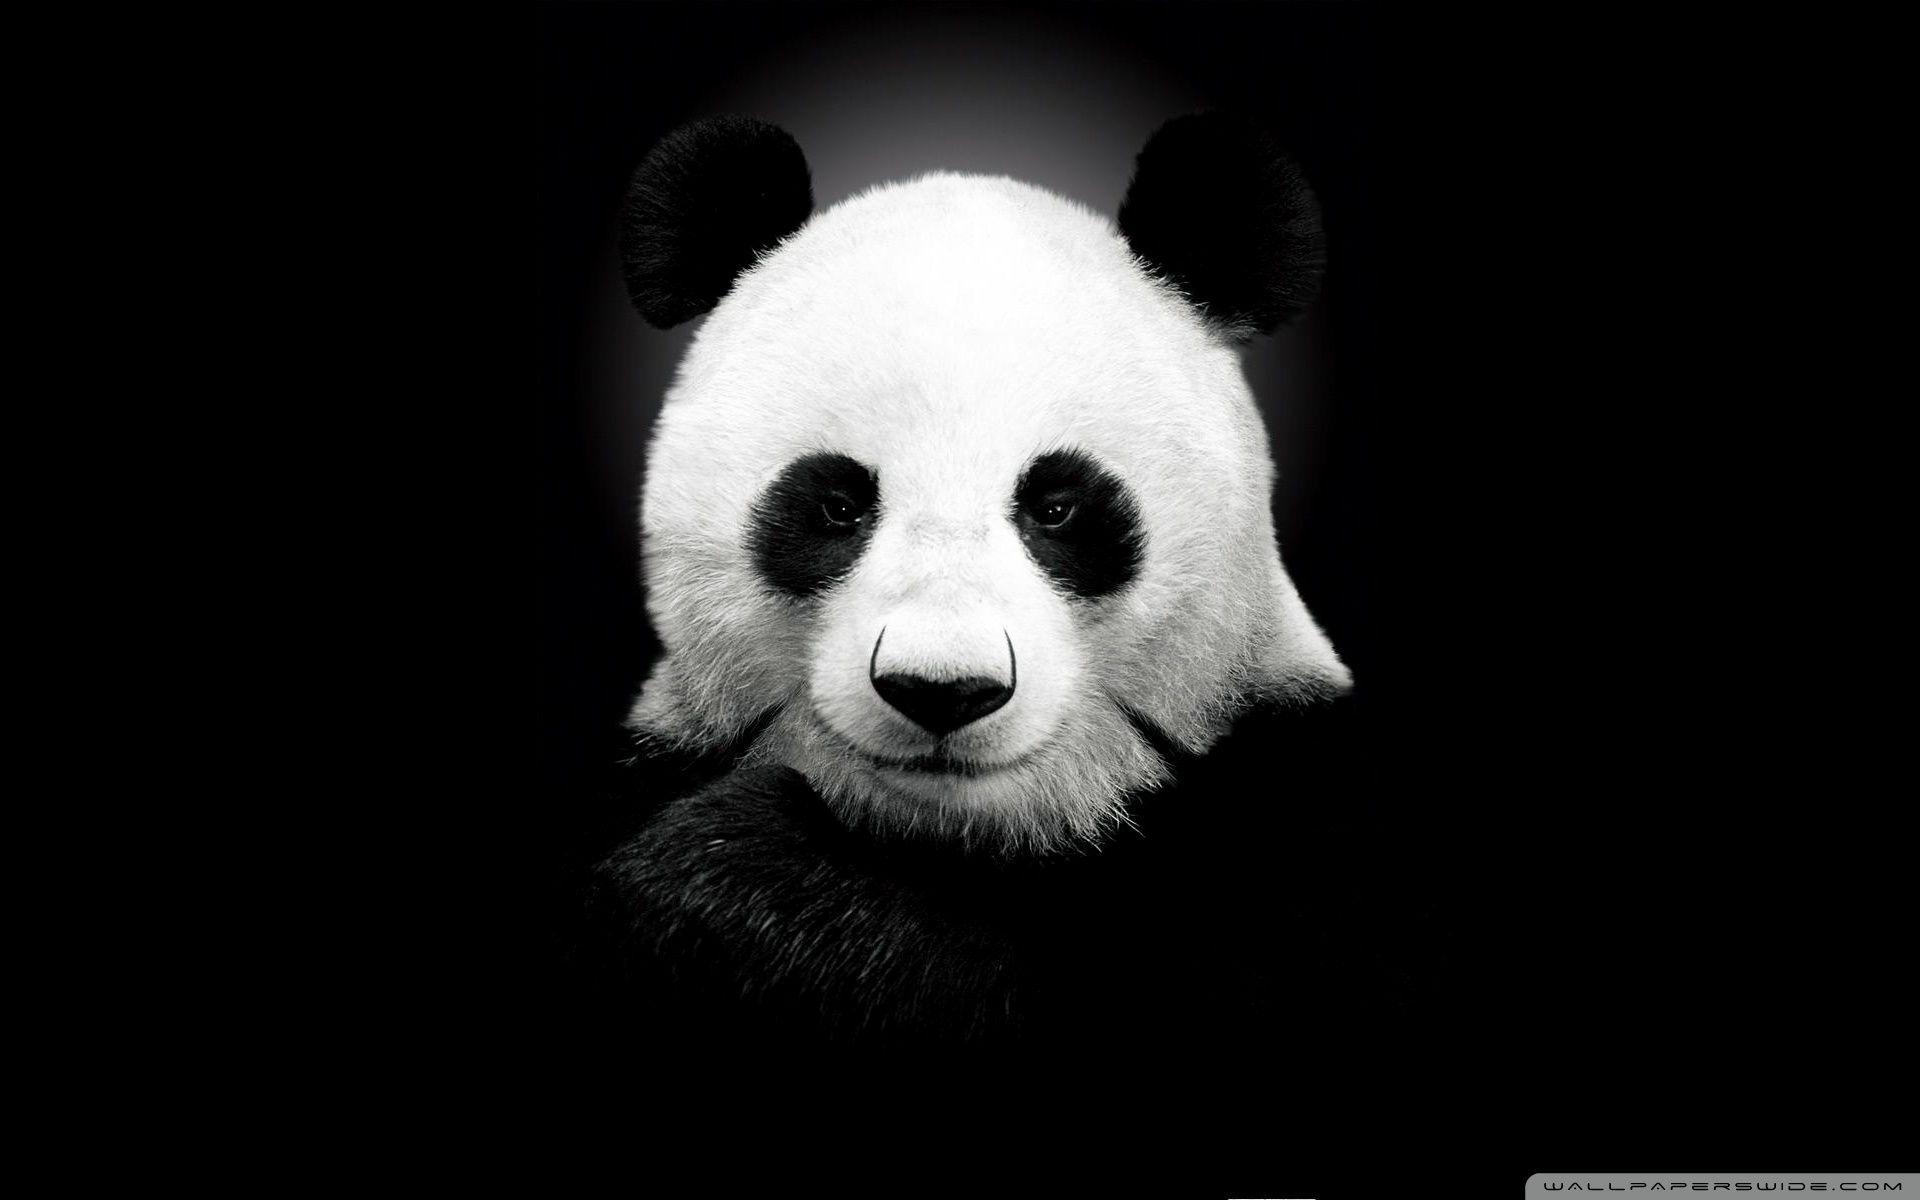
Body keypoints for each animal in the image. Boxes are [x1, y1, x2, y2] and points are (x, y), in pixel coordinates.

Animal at [578, 113, 1410, 1056]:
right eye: (836, 506)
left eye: (1057, 507)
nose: (943, 690)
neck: (964, 836)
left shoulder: (1300, 821)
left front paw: (733, 879)